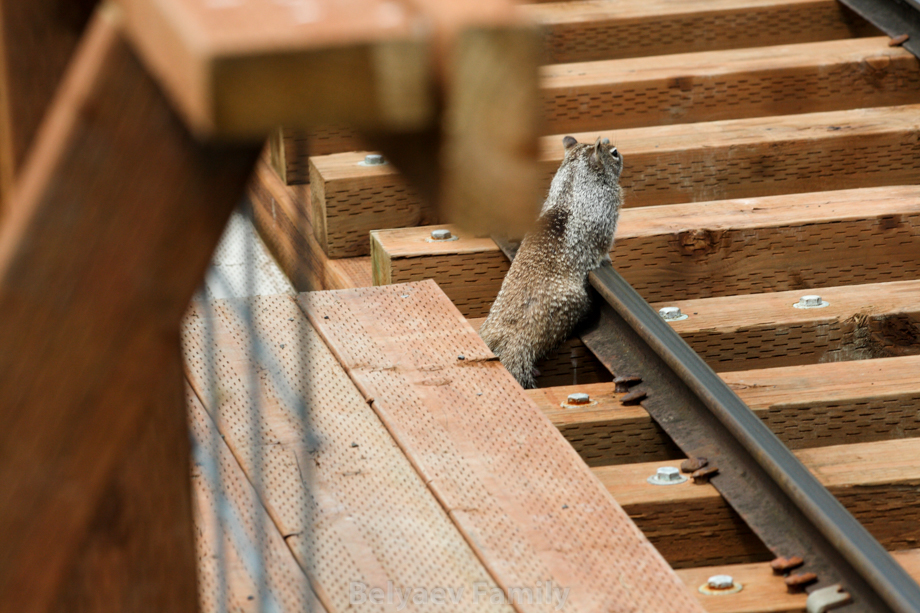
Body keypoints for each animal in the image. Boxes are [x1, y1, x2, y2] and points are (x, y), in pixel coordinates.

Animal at [479, 135, 623, 389]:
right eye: (613, 152)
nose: (621, 155)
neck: (572, 179)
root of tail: (513, 339)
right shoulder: (607, 213)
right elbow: (604, 245)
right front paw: (607, 259)